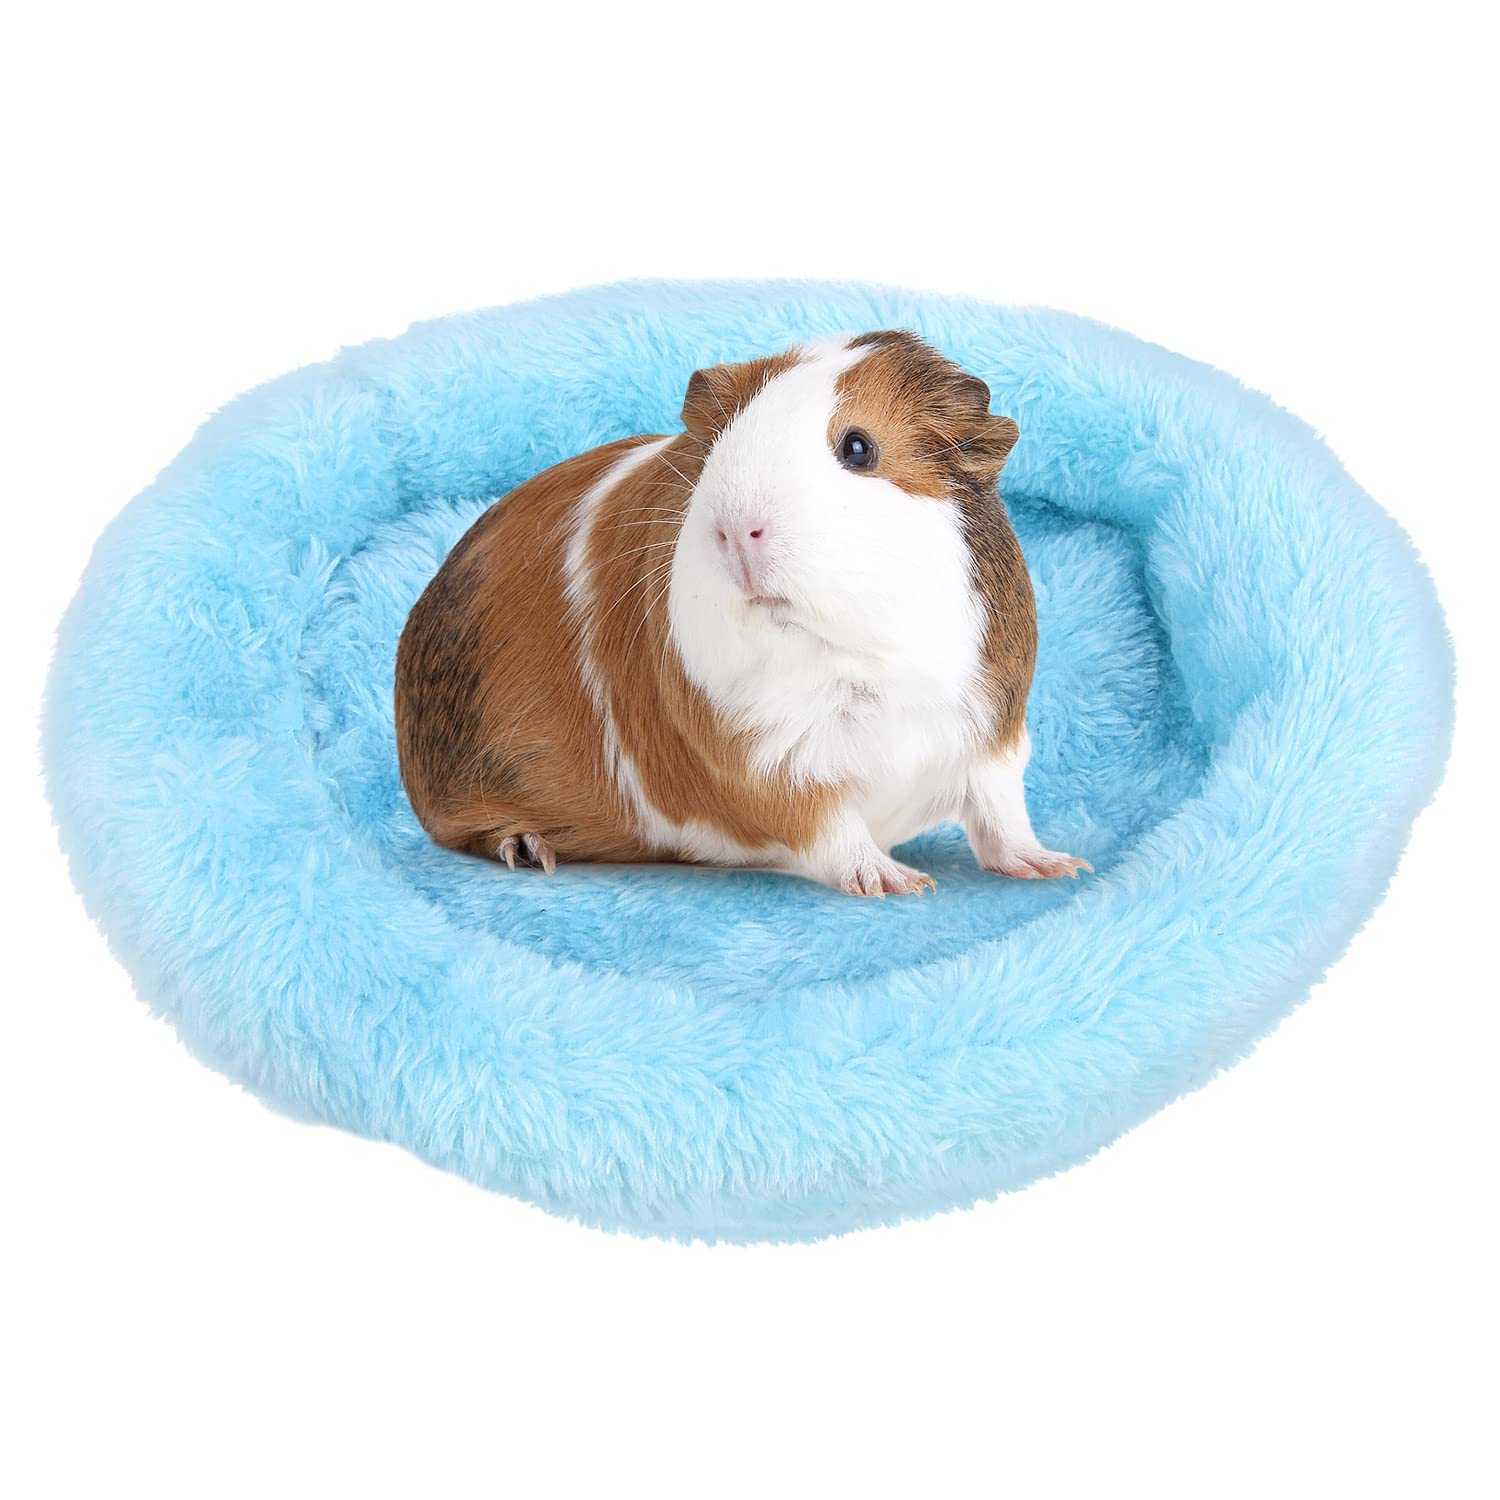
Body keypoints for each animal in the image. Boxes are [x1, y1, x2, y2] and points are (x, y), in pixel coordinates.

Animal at [394, 330, 1087, 896]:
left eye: (858, 448)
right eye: (718, 451)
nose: (734, 530)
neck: (856, 656)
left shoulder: (992, 737)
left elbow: (1001, 818)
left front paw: (1058, 867)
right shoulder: (768, 761)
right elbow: (828, 828)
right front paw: (898, 883)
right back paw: (530, 850)